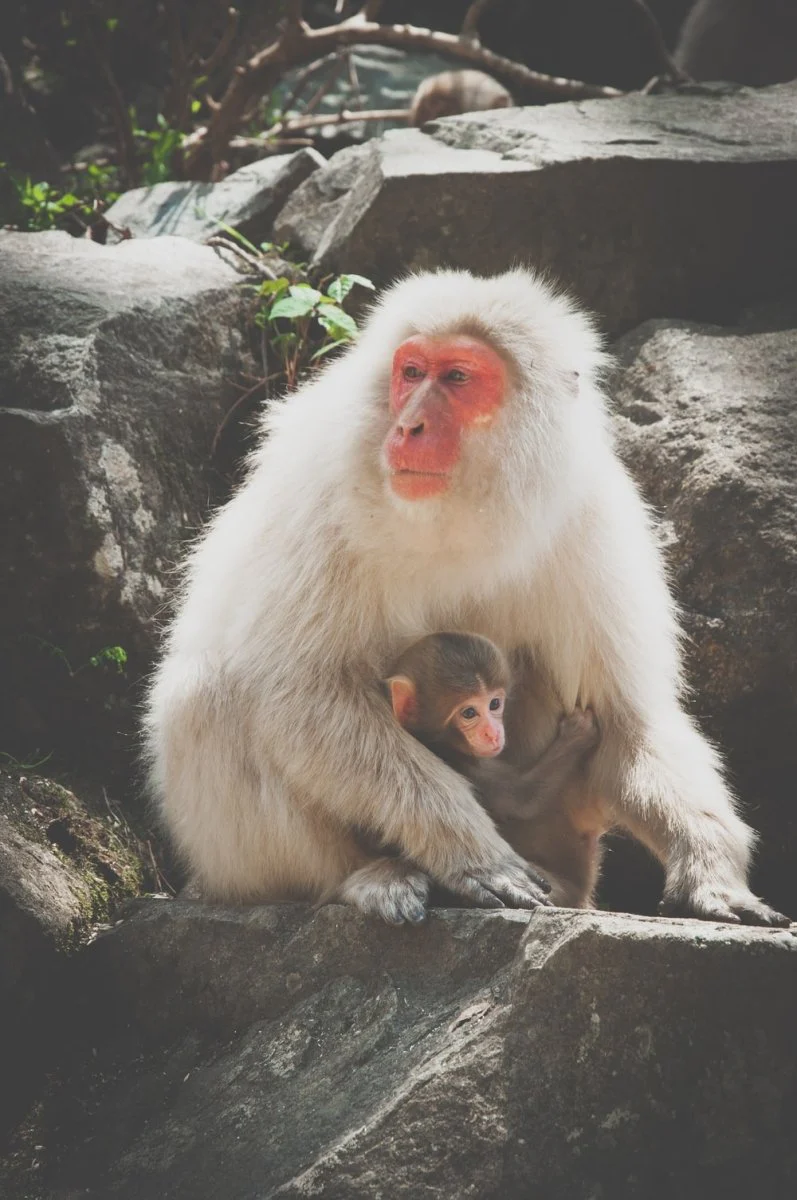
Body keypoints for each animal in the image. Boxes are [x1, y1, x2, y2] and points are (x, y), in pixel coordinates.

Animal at [144, 267, 789, 928]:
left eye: (457, 377)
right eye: (411, 372)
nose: (408, 427)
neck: (461, 509)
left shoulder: (592, 518)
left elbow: (626, 716)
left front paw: (711, 871)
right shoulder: (320, 499)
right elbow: (298, 692)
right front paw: (469, 853)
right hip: (232, 864)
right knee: (210, 696)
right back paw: (362, 877)